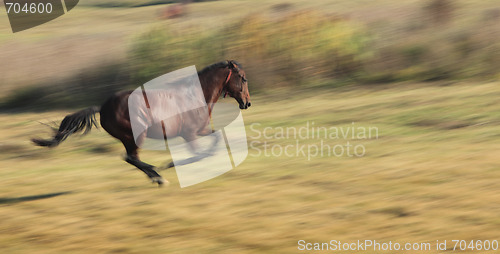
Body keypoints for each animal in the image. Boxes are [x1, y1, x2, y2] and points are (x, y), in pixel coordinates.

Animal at [31, 60, 250, 186]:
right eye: (243, 78)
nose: (247, 103)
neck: (195, 96)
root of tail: (103, 108)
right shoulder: (189, 134)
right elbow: (199, 155)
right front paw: (168, 165)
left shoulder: (201, 130)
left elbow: (216, 141)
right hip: (134, 135)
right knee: (130, 157)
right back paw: (157, 175)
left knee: (130, 158)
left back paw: (155, 175)